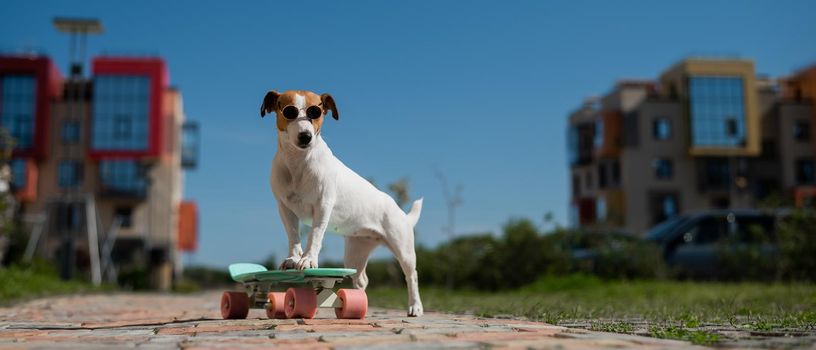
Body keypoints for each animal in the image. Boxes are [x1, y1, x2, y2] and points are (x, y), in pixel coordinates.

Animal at [260, 89, 428, 318]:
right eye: (289, 111)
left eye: (315, 112)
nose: (306, 136)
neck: (299, 161)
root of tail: (402, 213)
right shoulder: (285, 208)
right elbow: (293, 236)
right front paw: (293, 258)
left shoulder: (323, 206)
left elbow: (314, 235)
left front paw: (308, 259)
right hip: (355, 253)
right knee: (362, 279)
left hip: (403, 248)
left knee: (412, 275)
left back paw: (415, 306)